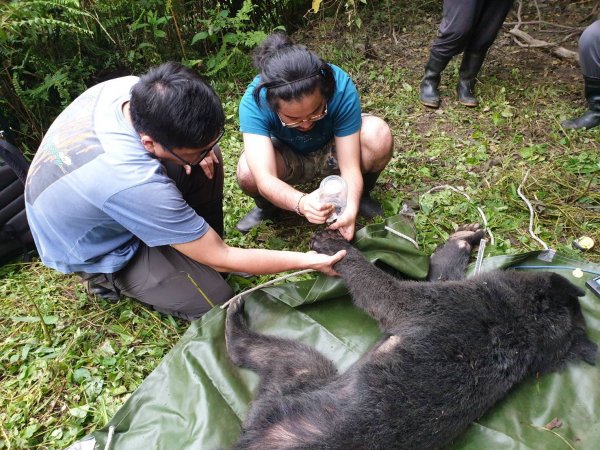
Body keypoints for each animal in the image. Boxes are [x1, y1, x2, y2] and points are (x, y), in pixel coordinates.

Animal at [224, 225, 596, 450]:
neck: (521, 327)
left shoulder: (417, 301)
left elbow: (371, 277)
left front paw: (335, 246)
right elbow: (444, 269)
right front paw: (464, 238)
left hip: (295, 381)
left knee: (267, 355)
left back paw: (234, 323)